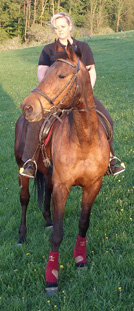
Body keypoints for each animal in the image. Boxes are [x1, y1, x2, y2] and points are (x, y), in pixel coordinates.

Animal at [15, 42, 110, 294]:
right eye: (46, 72)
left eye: (61, 75)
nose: (27, 106)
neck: (84, 139)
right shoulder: (62, 187)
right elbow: (58, 235)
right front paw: (52, 278)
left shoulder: (93, 186)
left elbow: (83, 224)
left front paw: (80, 261)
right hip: (23, 171)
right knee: (25, 200)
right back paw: (21, 235)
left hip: (48, 175)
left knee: (45, 195)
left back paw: (47, 221)